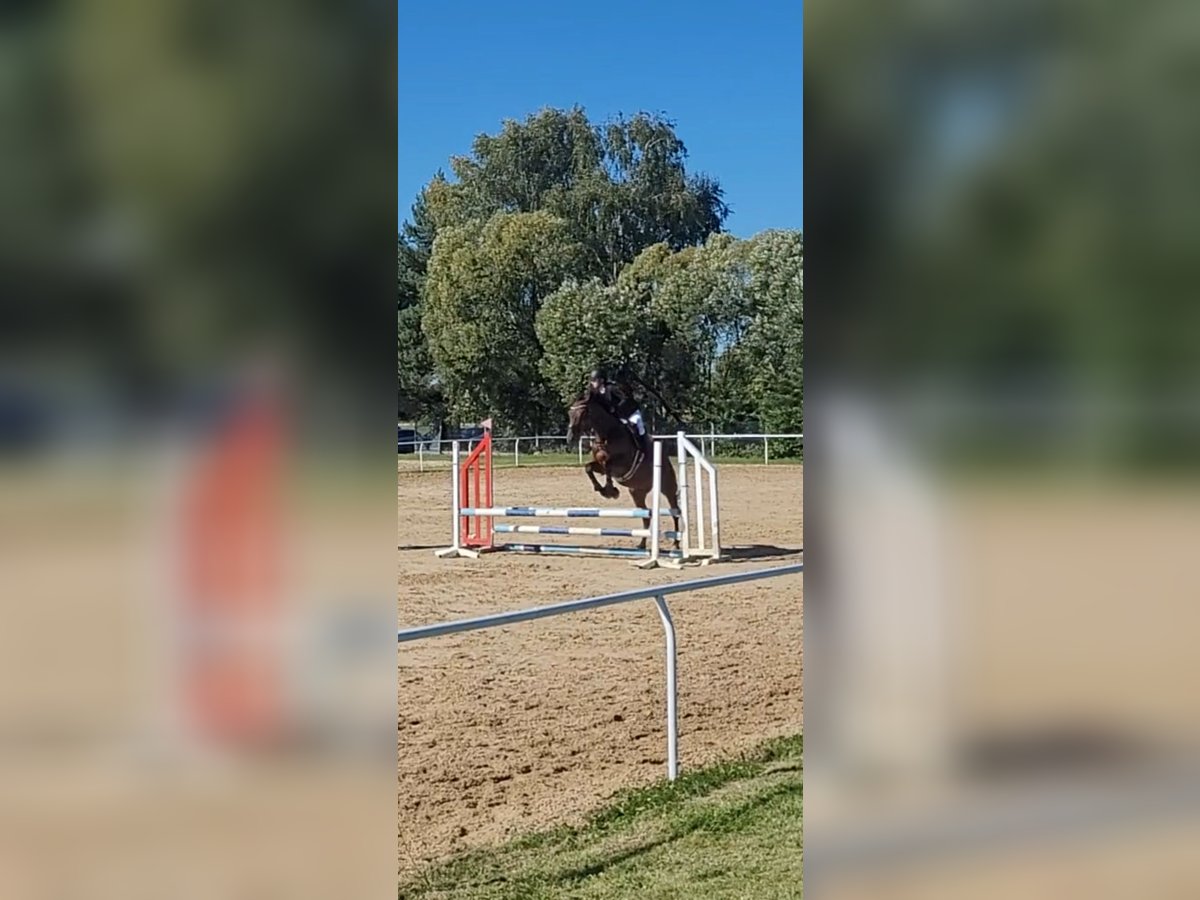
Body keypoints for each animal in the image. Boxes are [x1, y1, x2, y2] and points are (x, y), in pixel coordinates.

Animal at [566, 394, 681, 551]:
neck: (607, 434)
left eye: (582, 413)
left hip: (667, 487)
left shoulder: (621, 464)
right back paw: (641, 544)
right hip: (637, 492)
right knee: (646, 516)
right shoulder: (599, 465)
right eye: (569, 413)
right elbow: (589, 468)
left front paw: (610, 491)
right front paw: (601, 489)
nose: (570, 438)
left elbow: (608, 466)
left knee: (675, 512)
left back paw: (676, 543)